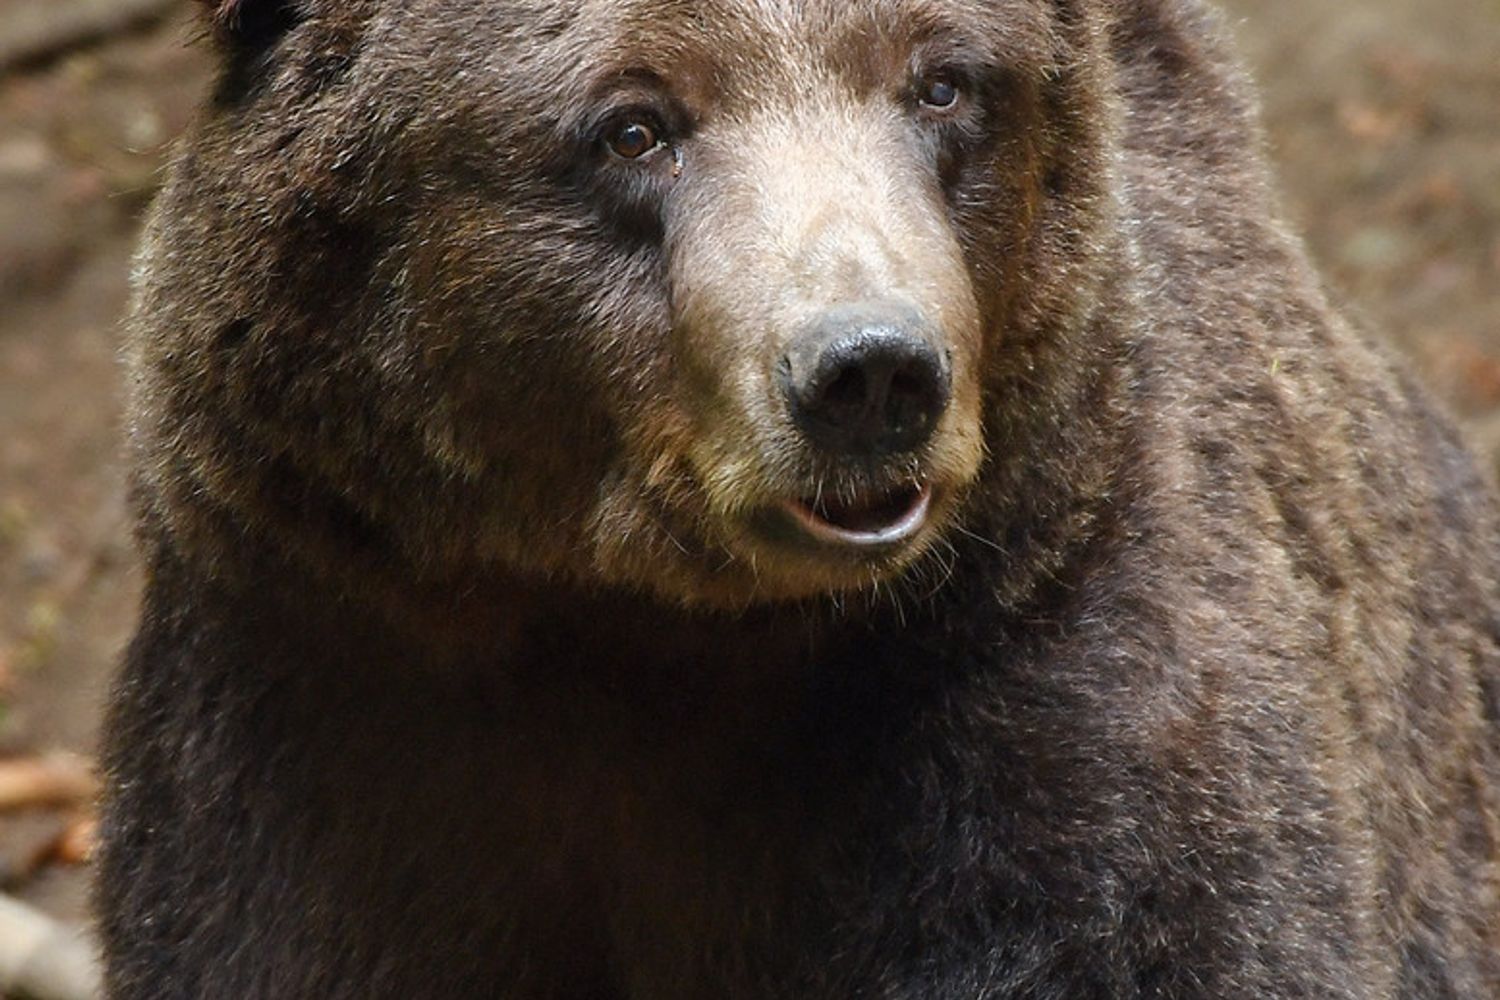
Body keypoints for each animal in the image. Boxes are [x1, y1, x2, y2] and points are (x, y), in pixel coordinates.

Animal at [97, 0, 1500, 996]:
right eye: (634, 124)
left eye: (943, 80)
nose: (870, 371)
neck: (643, 630)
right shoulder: (329, 706)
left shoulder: (1068, 710)